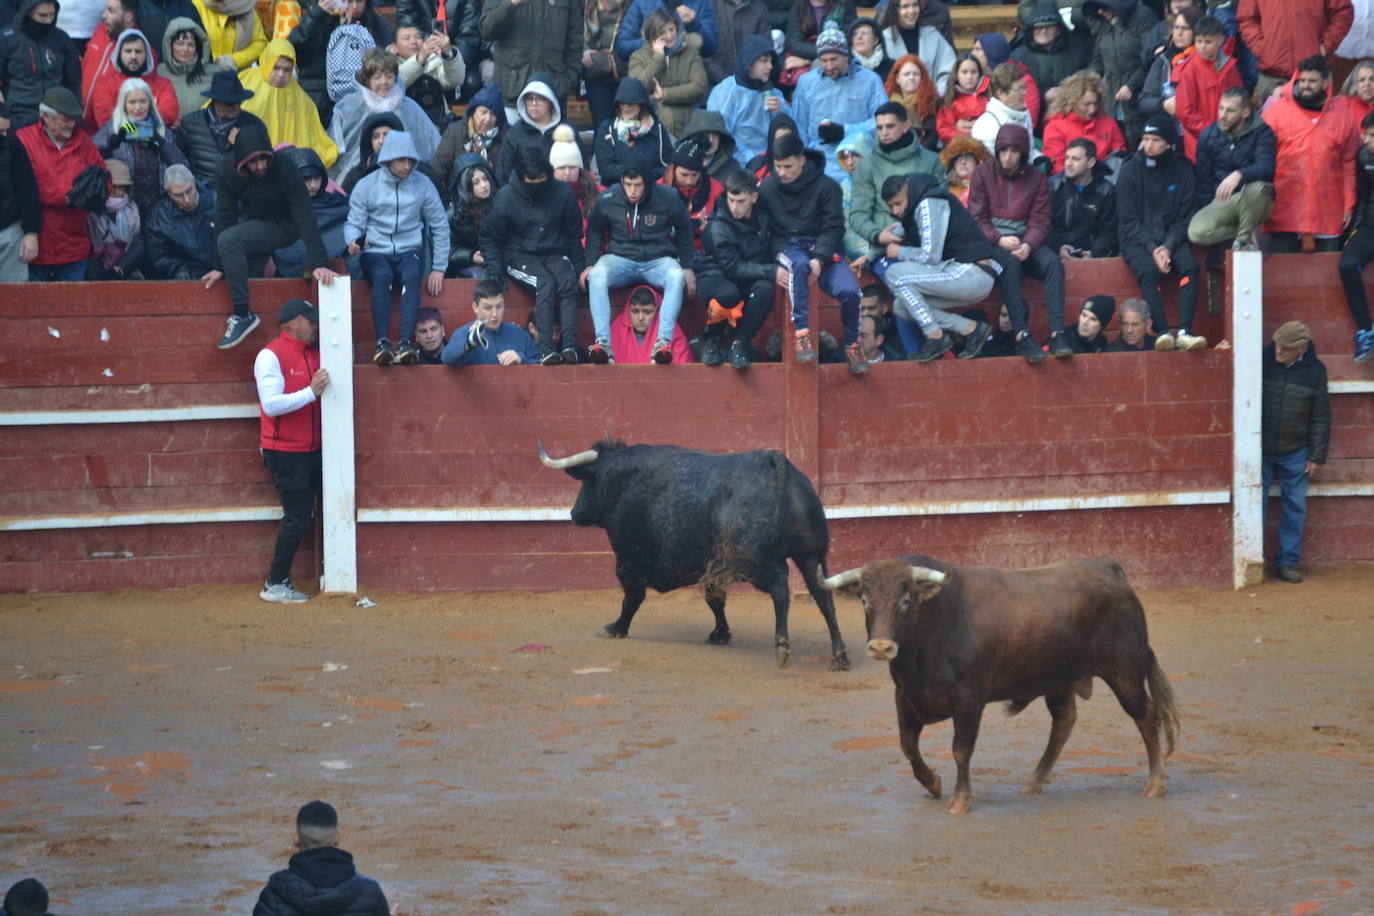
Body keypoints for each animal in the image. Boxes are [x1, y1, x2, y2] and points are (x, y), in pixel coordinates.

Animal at [535, 439, 846, 670]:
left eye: (587, 482)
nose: (574, 512)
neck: (620, 480)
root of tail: (776, 465)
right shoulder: (711, 563)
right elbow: (715, 598)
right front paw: (719, 634)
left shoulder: (627, 560)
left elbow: (631, 599)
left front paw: (615, 628)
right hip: (811, 555)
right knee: (824, 597)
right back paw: (840, 655)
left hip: (757, 561)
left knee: (781, 589)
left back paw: (782, 646)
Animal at [818, 554, 1187, 813]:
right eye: (865, 599)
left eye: (905, 600)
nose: (882, 647)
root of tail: (1108, 569)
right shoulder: (906, 698)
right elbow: (908, 747)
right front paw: (934, 784)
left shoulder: (969, 700)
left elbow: (961, 749)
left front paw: (960, 800)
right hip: (1058, 680)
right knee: (1064, 722)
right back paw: (1034, 781)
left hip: (1125, 672)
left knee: (1146, 716)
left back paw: (1155, 784)